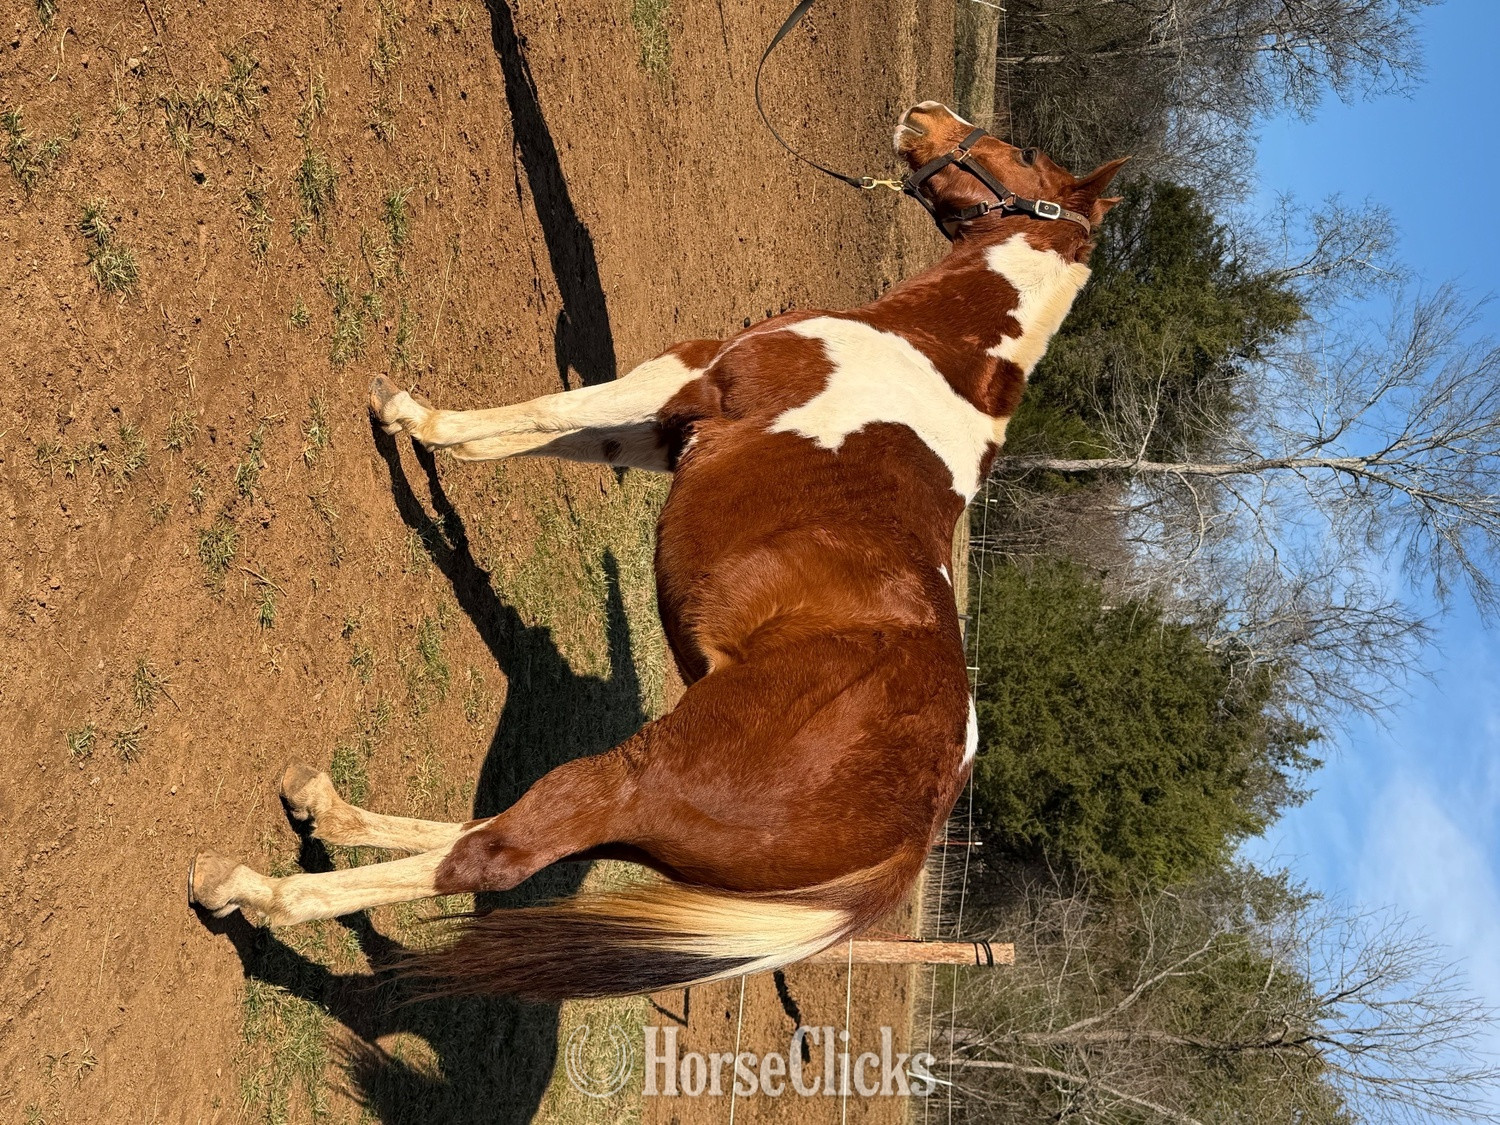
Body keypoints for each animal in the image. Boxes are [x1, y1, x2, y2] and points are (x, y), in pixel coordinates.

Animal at [188, 101, 1126, 1001]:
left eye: (1024, 154)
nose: (924, 114)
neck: (928, 351)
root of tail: (914, 832)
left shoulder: (683, 377)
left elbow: (544, 412)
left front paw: (410, 418)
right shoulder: (662, 432)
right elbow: (541, 438)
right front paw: (430, 445)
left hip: (637, 780)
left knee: (493, 853)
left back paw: (248, 886)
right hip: (656, 831)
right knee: (506, 830)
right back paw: (324, 808)